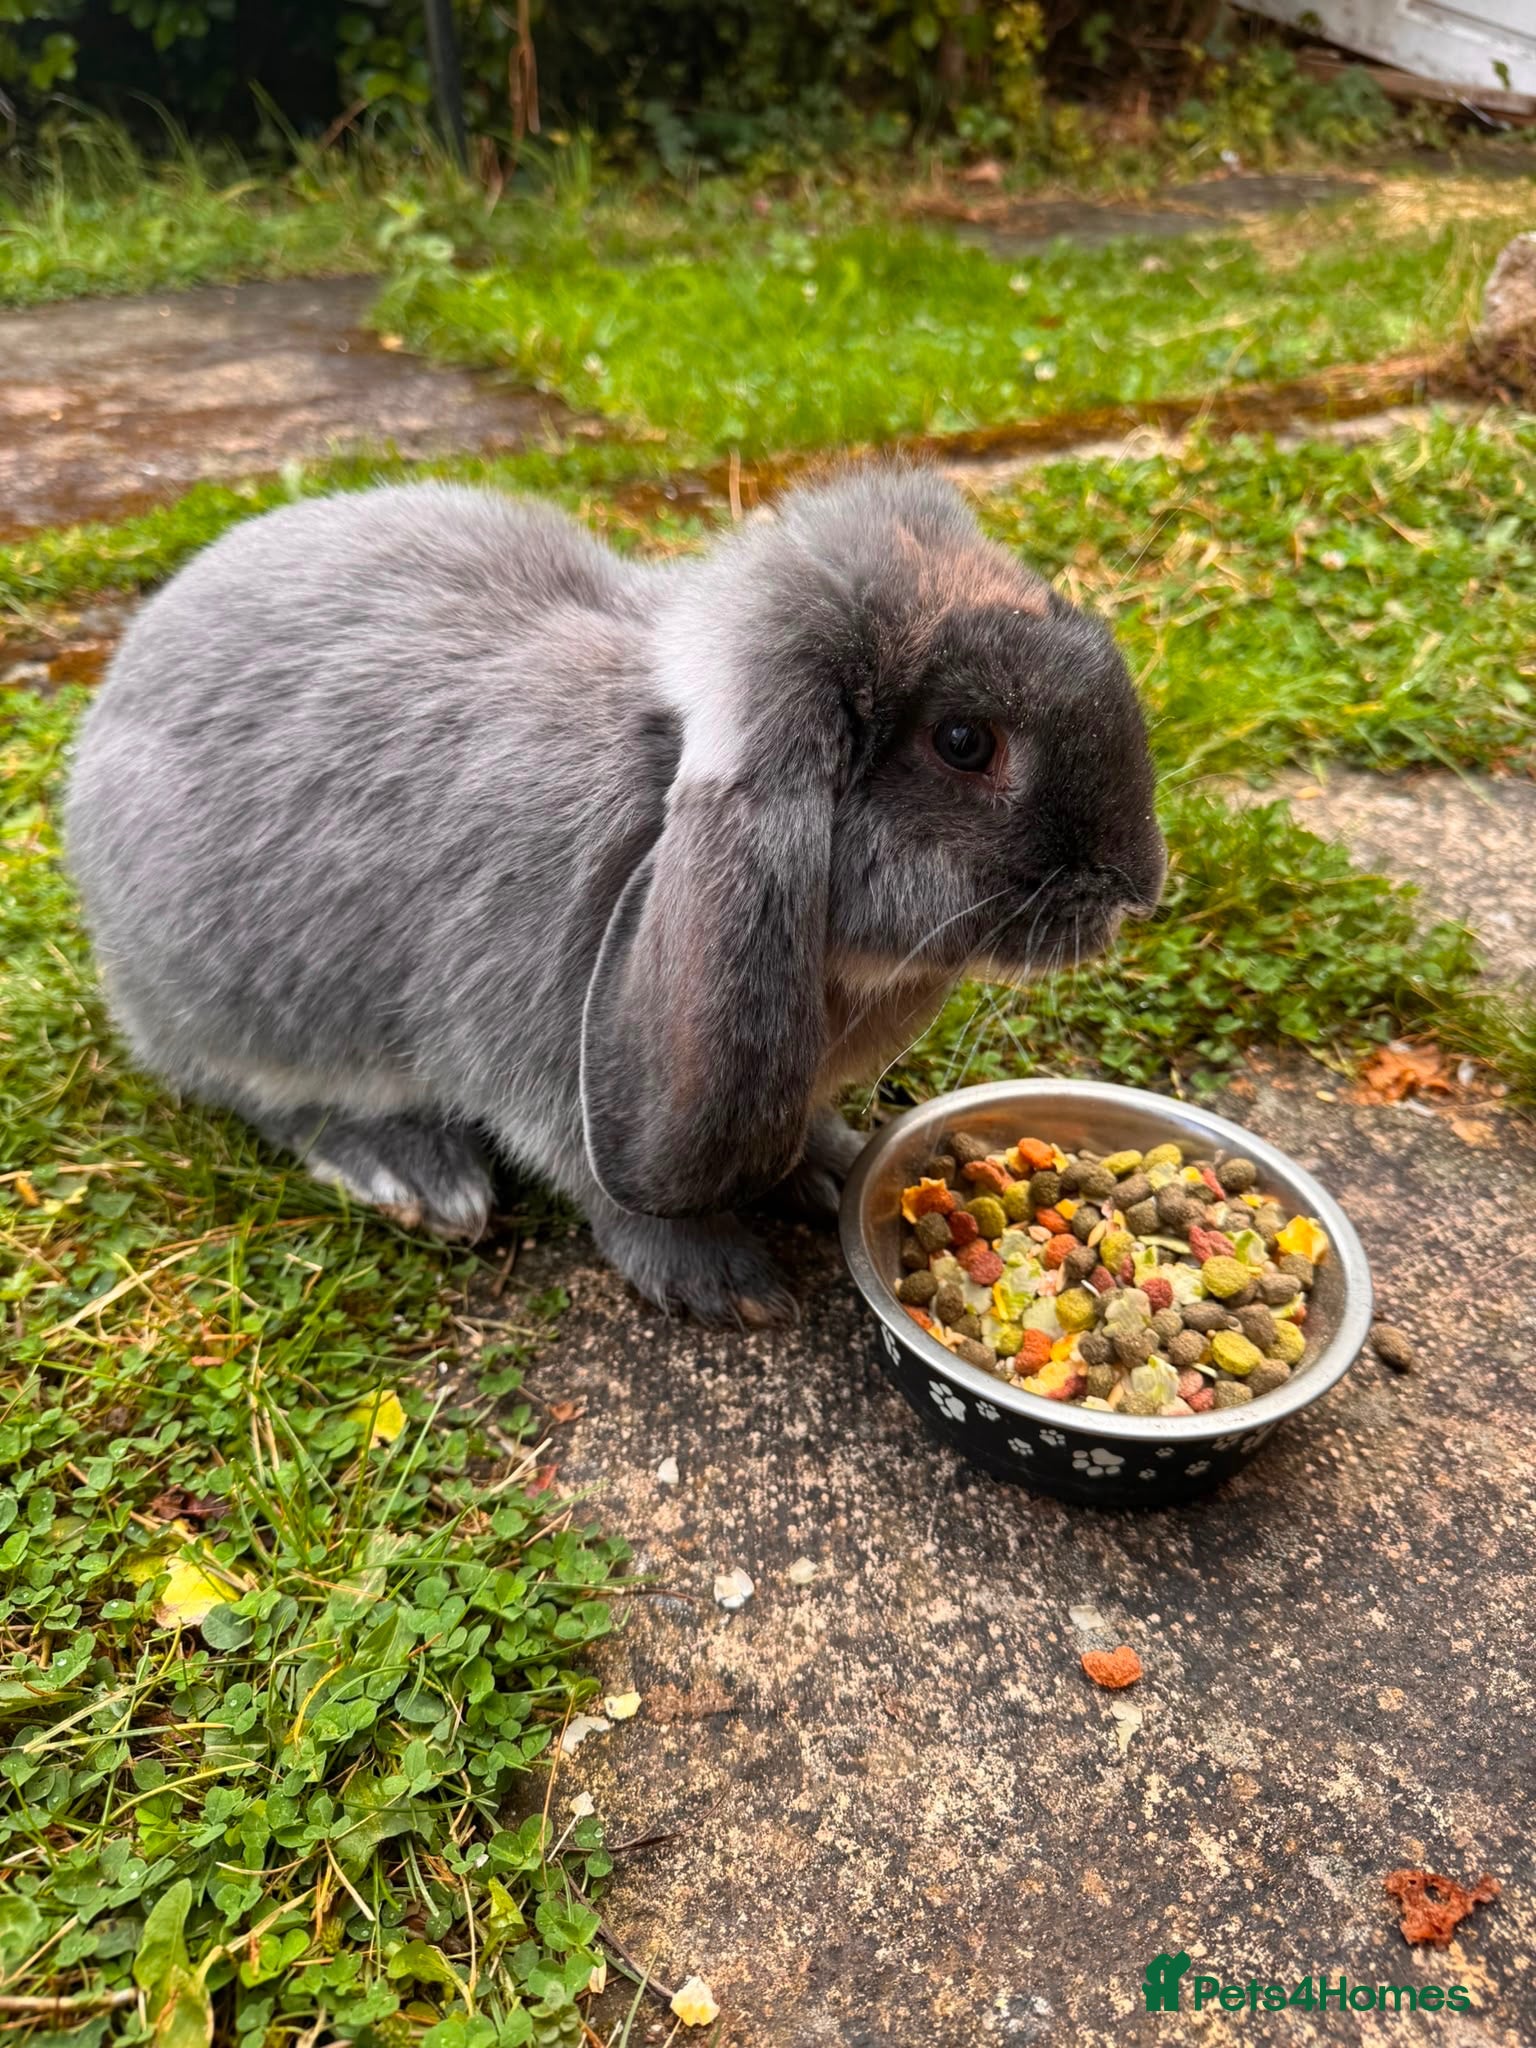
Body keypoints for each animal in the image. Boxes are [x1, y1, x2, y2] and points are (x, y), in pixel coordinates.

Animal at [64, 464, 1165, 1326]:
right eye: (965, 741)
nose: (1140, 885)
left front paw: (837, 1168)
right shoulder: (546, 1054)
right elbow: (605, 1186)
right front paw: (723, 1283)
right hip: (252, 1011)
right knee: (264, 1096)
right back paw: (415, 1175)